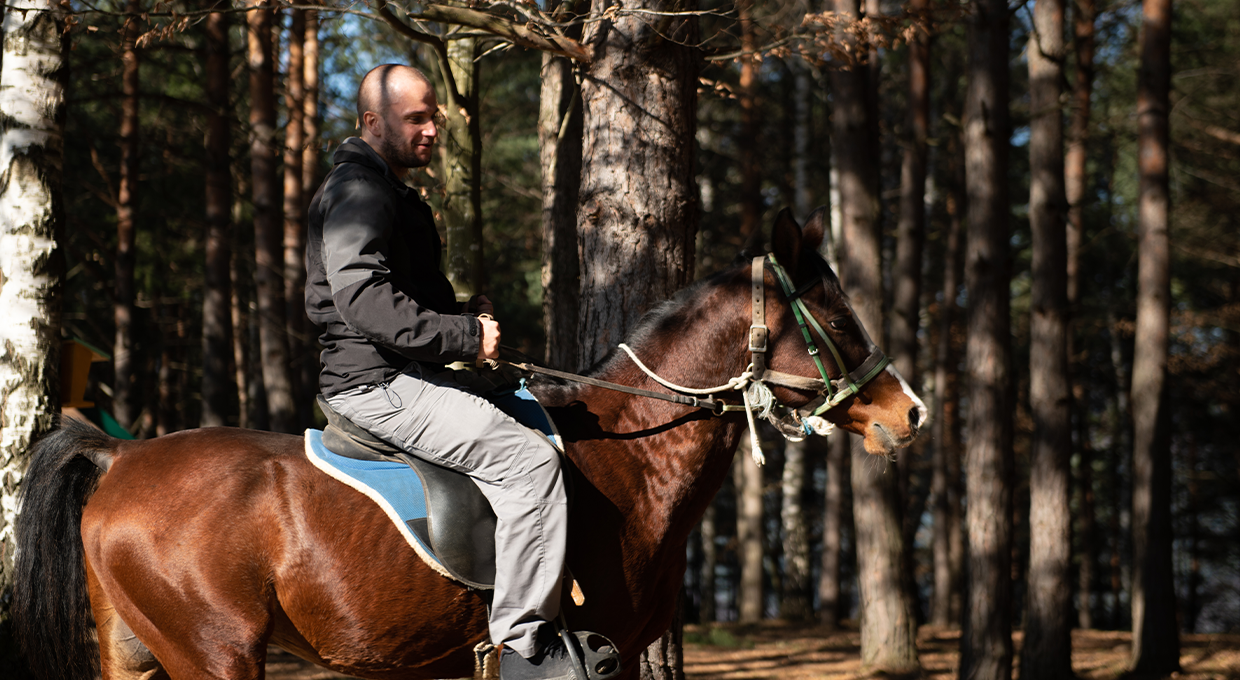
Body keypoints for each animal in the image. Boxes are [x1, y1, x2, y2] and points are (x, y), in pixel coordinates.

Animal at [13, 209, 925, 680]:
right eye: (837, 320)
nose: (912, 411)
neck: (631, 455)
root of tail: (123, 458)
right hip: (215, 655)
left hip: (137, 653)